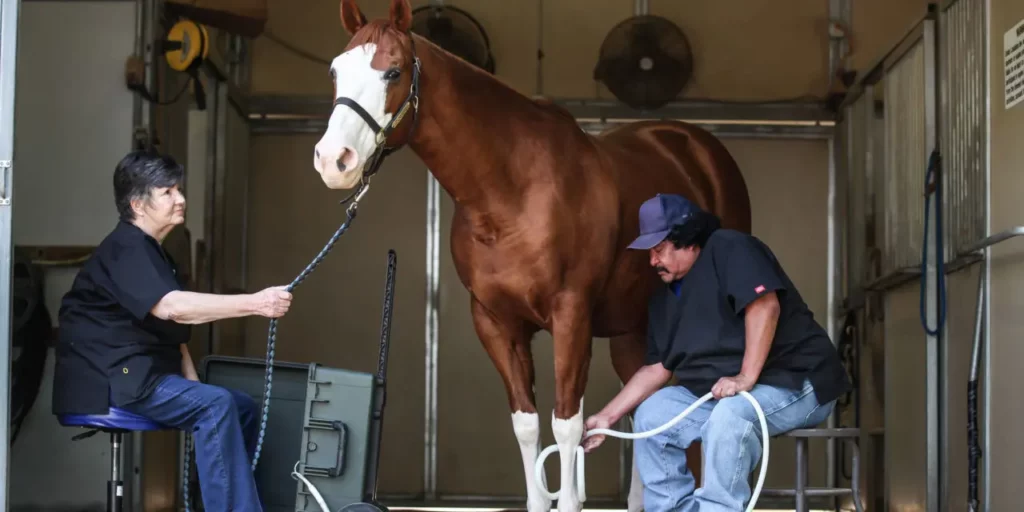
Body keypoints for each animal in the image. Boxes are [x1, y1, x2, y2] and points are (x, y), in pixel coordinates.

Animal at [311, 2, 753, 509]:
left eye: (394, 71)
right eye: (335, 71)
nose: (334, 160)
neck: (509, 191)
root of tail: (696, 146)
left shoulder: (571, 315)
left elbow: (567, 425)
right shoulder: (496, 322)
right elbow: (526, 426)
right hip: (633, 330)